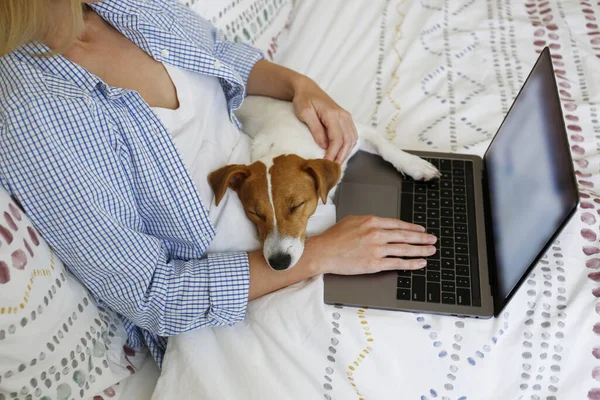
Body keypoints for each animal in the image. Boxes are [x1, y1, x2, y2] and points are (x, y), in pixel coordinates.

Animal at [209, 96, 438, 272]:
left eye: (296, 206)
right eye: (255, 213)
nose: (279, 263)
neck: (284, 143)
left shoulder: (353, 133)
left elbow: (385, 146)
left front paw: (414, 164)